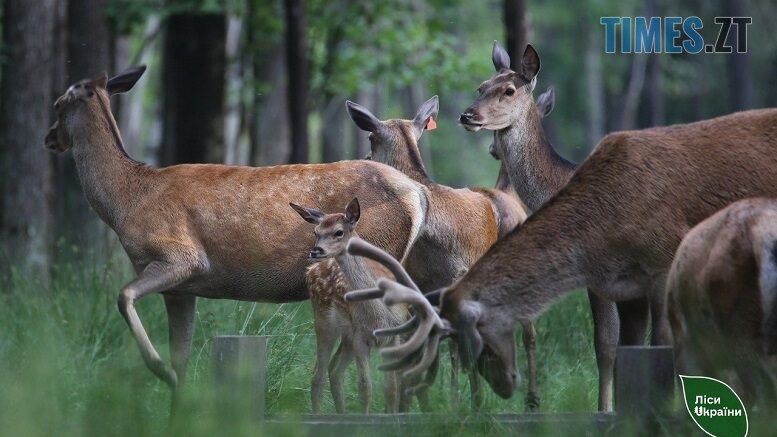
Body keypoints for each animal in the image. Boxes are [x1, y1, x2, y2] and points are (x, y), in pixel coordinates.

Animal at [292, 198, 412, 412]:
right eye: (316, 232)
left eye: (339, 232)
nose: (315, 251)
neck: (379, 315)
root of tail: (312, 269)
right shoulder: (360, 337)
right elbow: (365, 388)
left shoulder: (394, 335)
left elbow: (391, 388)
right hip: (324, 321)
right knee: (318, 374)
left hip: (346, 335)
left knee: (334, 370)